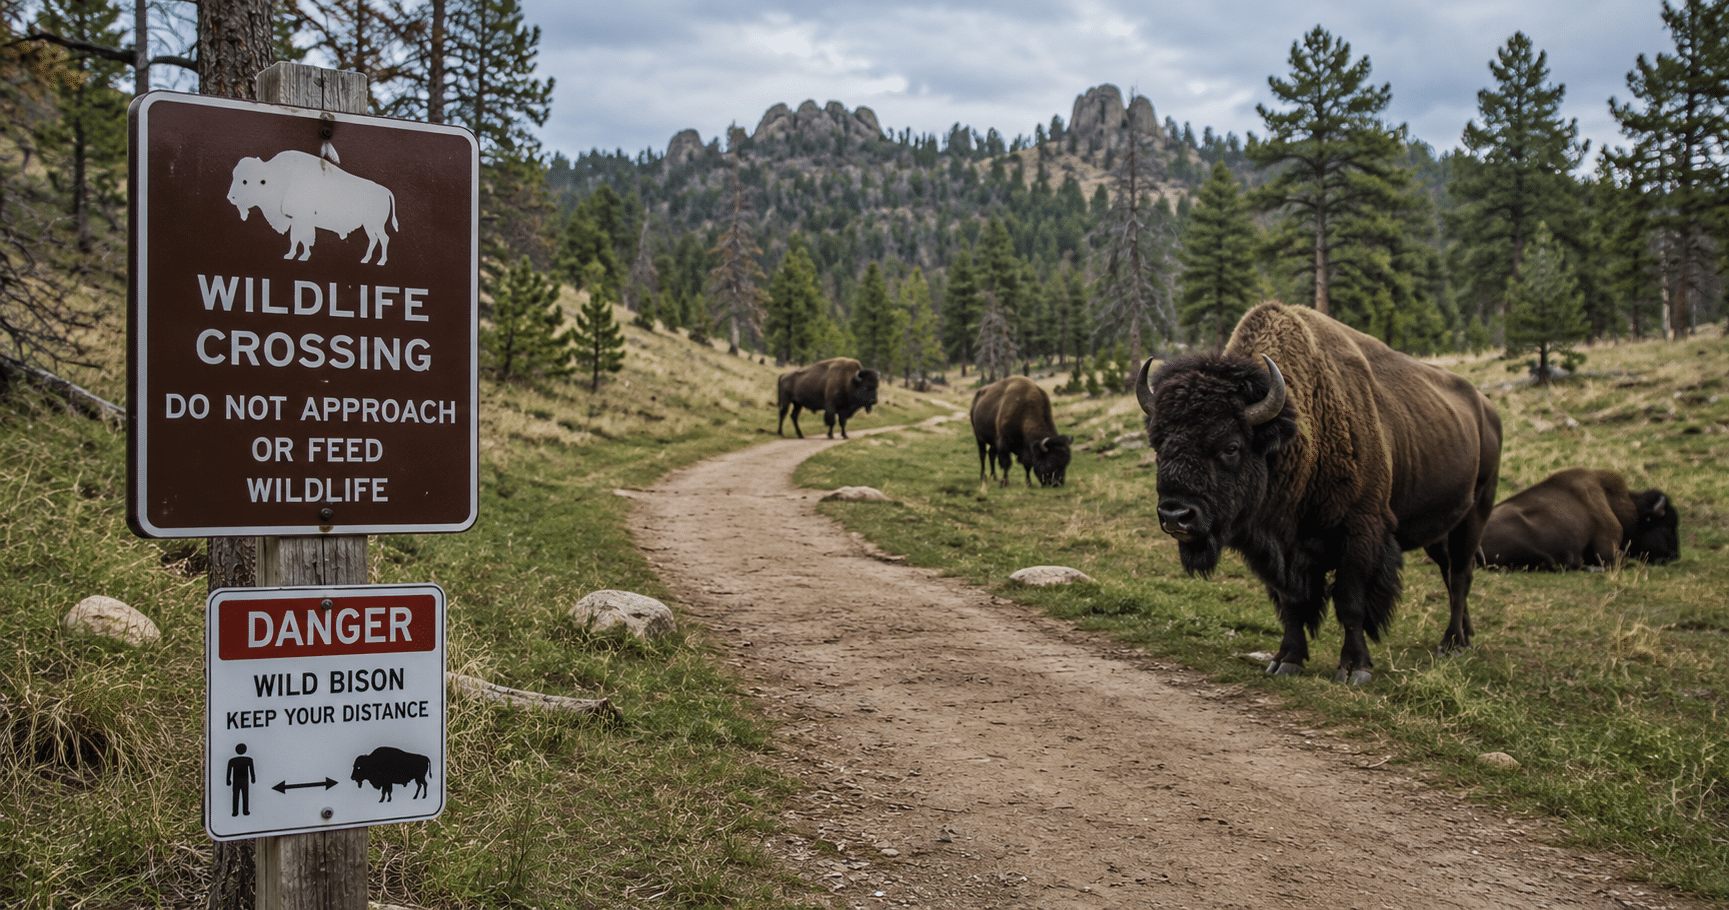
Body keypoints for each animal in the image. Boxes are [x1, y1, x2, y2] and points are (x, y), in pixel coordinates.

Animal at [1138, 302, 1502, 684]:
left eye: (1231, 447)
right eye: (1158, 445)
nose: (1175, 515)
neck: (1298, 431)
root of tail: (1487, 408)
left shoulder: (1359, 534)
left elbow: (1350, 602)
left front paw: (1355, 669)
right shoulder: (1279, 550)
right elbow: (1292, 603)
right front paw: (1286, 660)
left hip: (1476, 512)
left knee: (1460, 575)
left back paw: (1453, 643)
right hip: (1438, 529)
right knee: (1451, 572)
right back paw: (1465, 636)